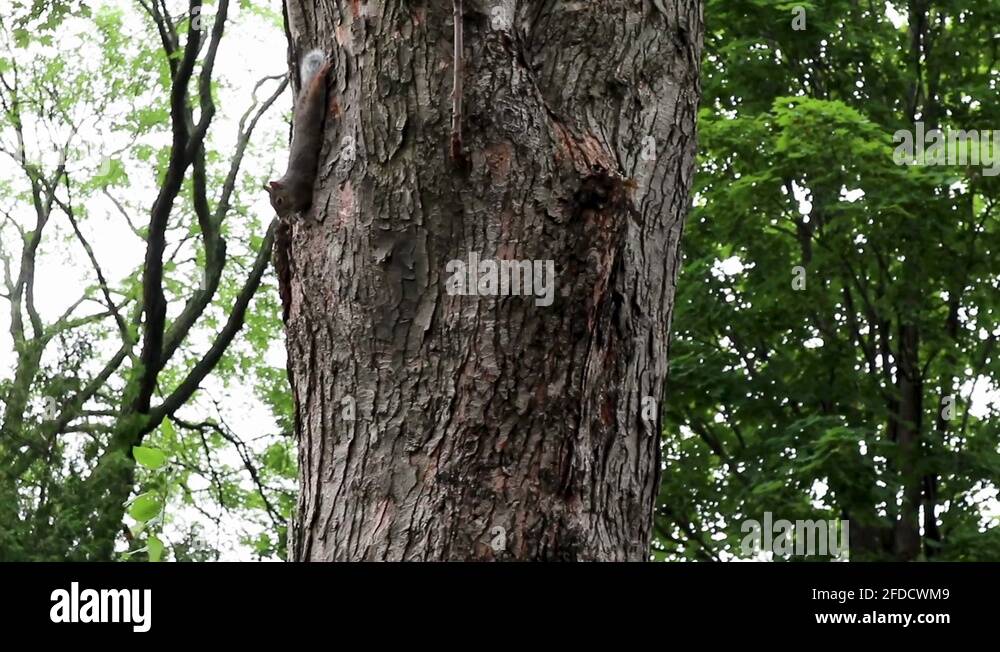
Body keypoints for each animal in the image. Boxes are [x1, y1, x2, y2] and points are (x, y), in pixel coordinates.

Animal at [265, 49, 333, 218]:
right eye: (271, 205)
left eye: (279, 201)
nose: (282, 218)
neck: (291, 186)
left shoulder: (304, 185)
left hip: (314, 97)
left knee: (318, 81)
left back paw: (323, 70)